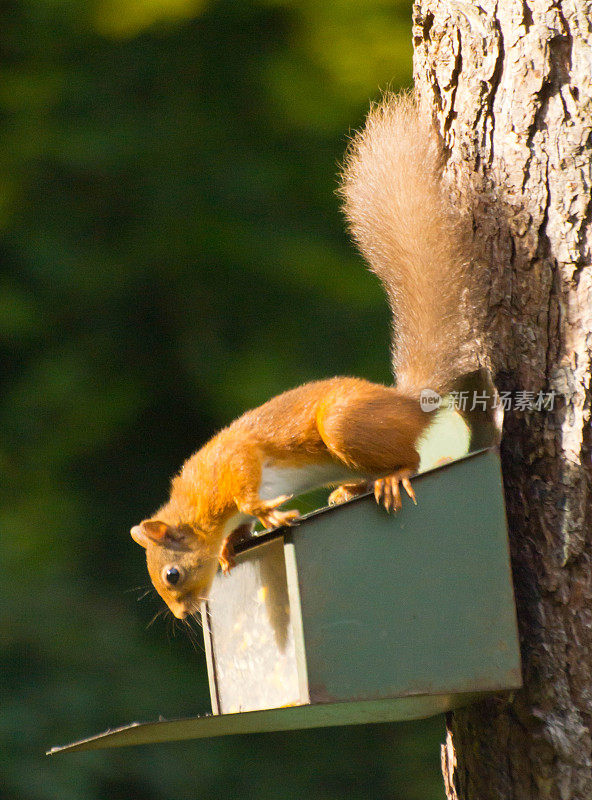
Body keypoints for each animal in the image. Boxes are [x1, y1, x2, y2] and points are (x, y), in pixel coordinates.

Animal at [131, 92, 480, 620]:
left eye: (171, 574)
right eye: (158, 582)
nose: (184, 614)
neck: (197, 505)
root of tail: (408, 401)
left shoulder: (230, 464)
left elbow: (247, 486)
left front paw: (263, 512)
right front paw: (233, 545)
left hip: (343, 425)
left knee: (413, 460)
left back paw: (390, 478)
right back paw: (349, 489)